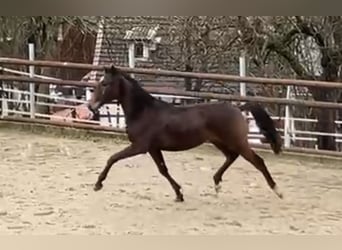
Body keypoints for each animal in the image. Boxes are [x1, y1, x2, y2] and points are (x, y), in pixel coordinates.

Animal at [87, 65, 284, 202]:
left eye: (104, 84)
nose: (90, 106)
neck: (143, 111)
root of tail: (237, 108)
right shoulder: (153, 148)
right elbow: (163, 170)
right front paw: (179, 194)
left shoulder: (140, 146)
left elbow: (113, 158)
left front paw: (98, 184)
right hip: (220, 141)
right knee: (231, 156)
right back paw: (217, 183)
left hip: (237, 142)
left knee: (258, 161)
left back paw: (278, 190)